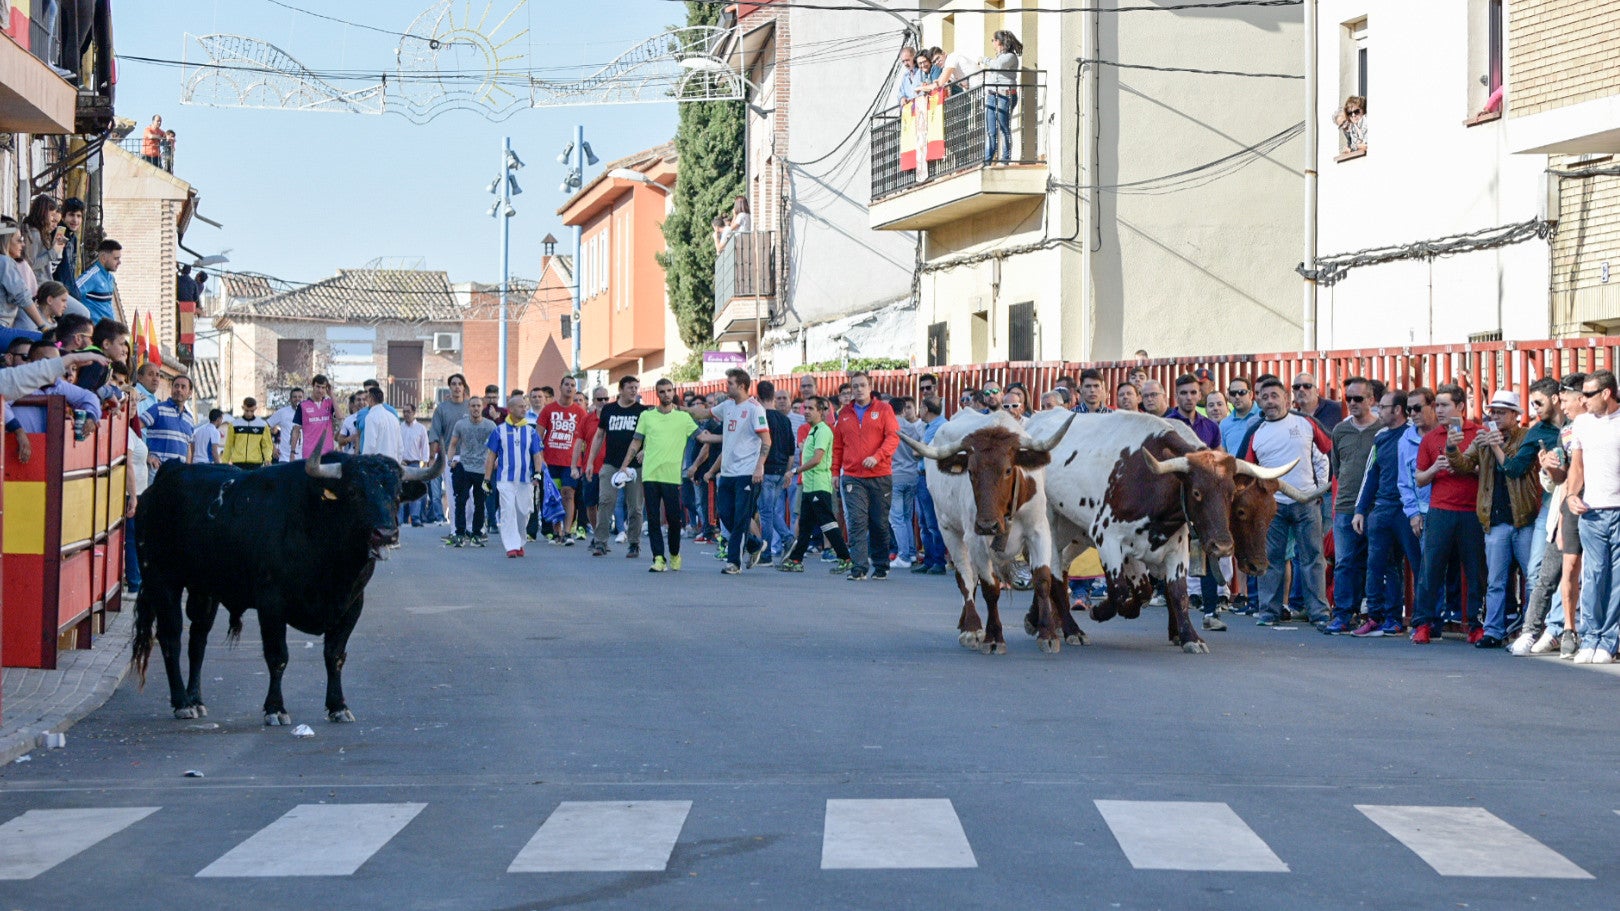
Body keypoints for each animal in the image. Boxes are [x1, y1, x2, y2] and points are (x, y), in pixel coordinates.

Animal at [132, 447, 437, 722]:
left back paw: (196, 699)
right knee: (171, 638)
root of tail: (165, 477)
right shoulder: (271, 603)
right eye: (353, 491)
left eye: (396, 495)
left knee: (198, 640)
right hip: (162, 581)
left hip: (204, 590)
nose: (385, 534)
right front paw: (275, 709)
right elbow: (277, 656)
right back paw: (182, 703)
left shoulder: (351, 605)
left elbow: (335, 655)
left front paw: (338, 706)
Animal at [900, 410, 1075, 651]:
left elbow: (1042, 580)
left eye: (1008, 470)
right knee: (966, 576)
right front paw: (993, 638)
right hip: (949, 529)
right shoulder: (975, 539)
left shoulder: (1039, 531)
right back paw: (971, 628)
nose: (987, 525)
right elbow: (990, 588)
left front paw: (1047, 634)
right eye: (971, 472)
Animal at [1023, 408, 1315, 648]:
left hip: (1074, 534)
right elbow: (1120, 589)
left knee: (1059, 568)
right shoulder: (1107, 537)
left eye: (1231, 495)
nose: (1222, 546)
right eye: (1197, 492)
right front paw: (1103, 611)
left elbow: (1175, 592)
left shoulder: (1173, 546)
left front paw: (1186, 636)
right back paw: (1068, 629)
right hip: (1049, 527)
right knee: (1051, 574)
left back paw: (1040, 621)